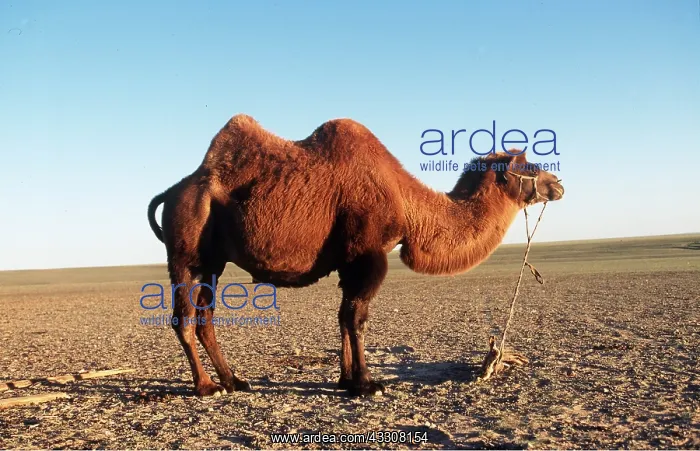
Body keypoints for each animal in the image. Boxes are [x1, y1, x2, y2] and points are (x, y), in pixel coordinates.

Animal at [146, 114, 564, 397]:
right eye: (529, 166)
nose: (558, 183)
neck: (406, 202)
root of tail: (172, 192)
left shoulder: (350, 260)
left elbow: (342, 316)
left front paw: (346, 379)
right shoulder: (369, 253)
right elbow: (357, 318)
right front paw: (367, 383)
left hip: (212, 263)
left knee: (205, 317)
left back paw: (233, 380)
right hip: (185, 251)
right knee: (183, 318)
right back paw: (206, 386)